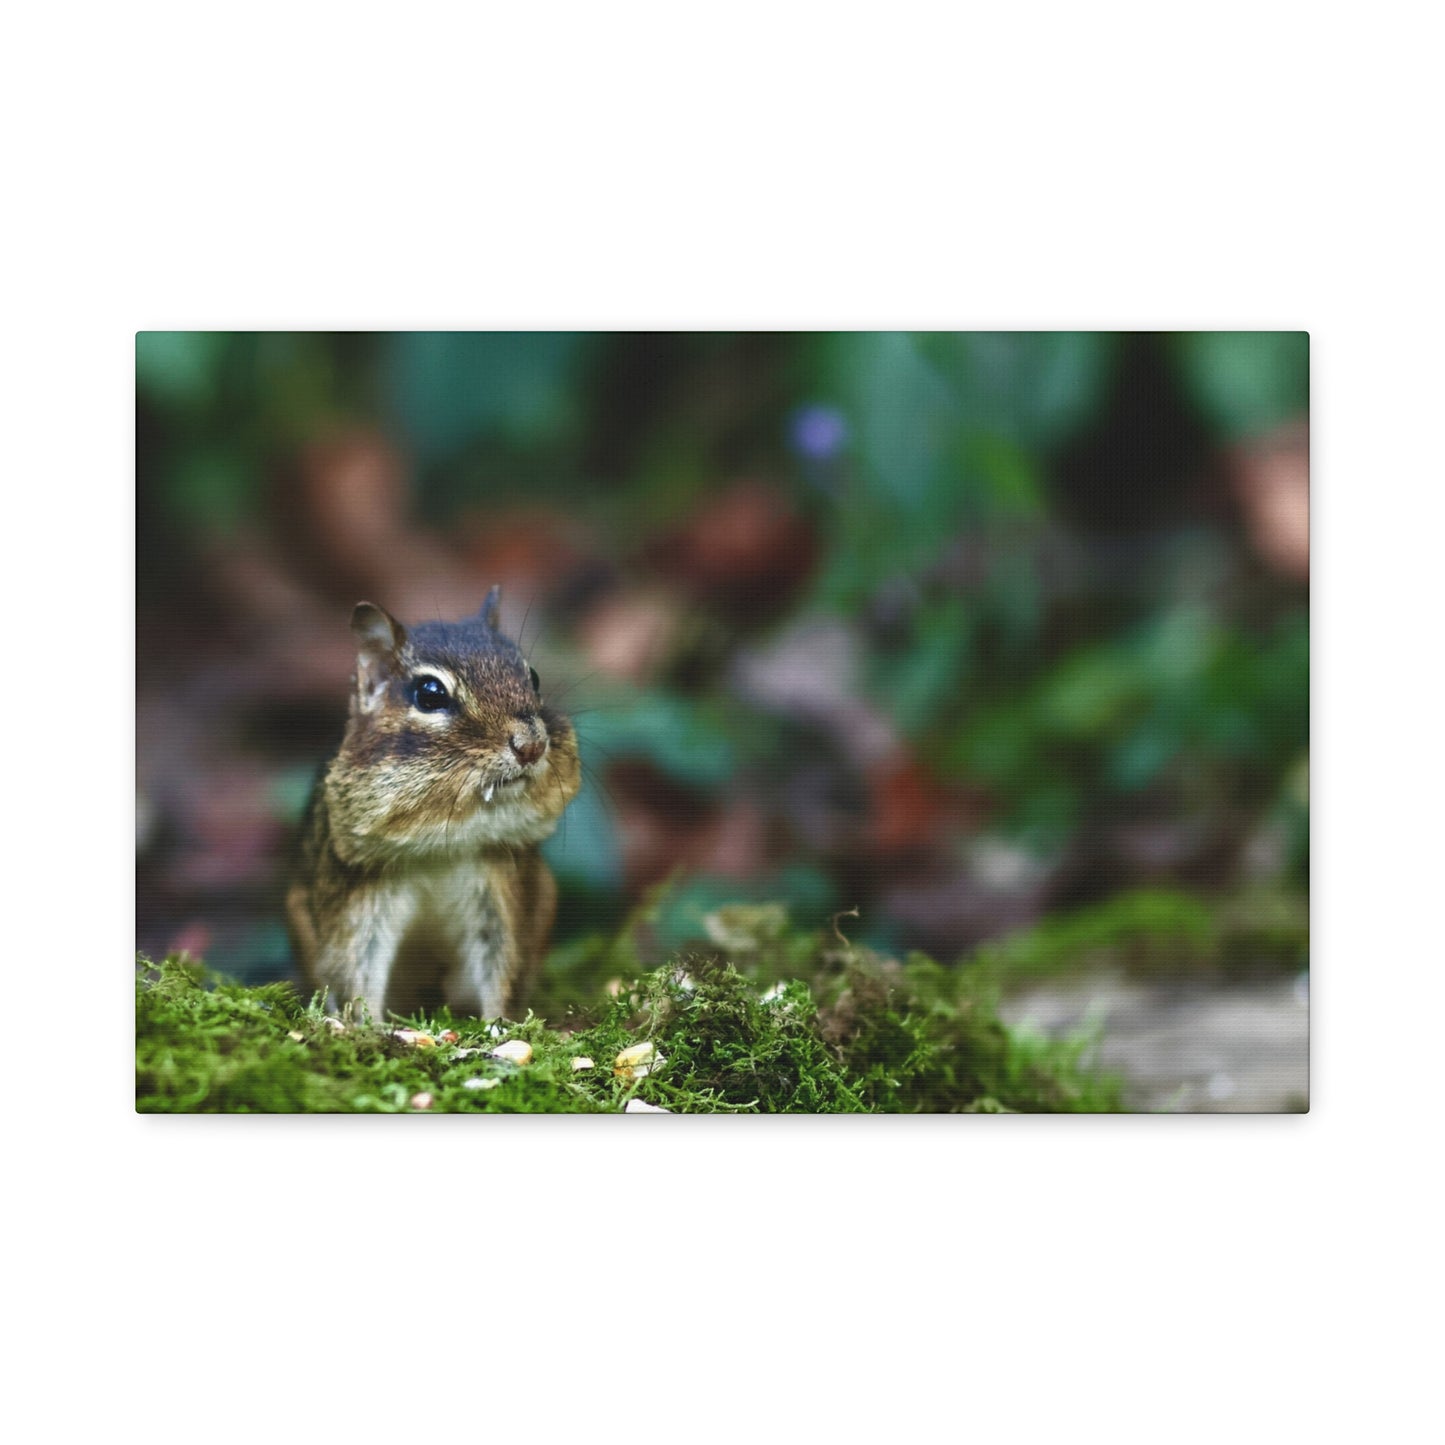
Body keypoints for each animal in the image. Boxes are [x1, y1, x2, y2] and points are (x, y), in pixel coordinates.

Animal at [286, 588, 581, 1024]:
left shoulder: (502, 891)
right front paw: (364, 1027)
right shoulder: (358, 898)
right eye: (430, 693)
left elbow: (504, 963)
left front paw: (500, 1026)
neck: (444, 845)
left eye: (534, 677)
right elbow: (354, 967)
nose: (531, 745)